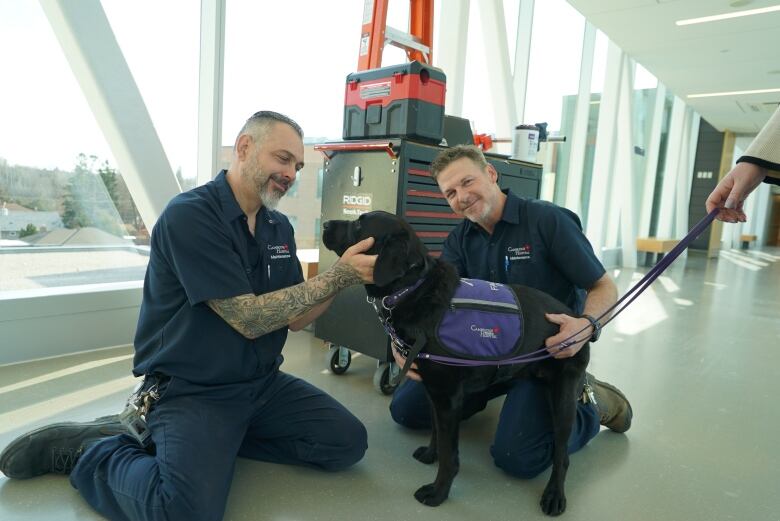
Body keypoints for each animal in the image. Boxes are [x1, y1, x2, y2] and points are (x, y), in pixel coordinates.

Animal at [324, 209, 592, 512]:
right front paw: (431, 454)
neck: (413, 290)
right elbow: (437, 434)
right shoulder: (435, 394)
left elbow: (450, 454)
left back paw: (555, 494)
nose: (325, 223)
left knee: (562, 453)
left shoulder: (447, 396)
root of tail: (578, 320)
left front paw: (438, 492)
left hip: (563, 397)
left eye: (359, 225)